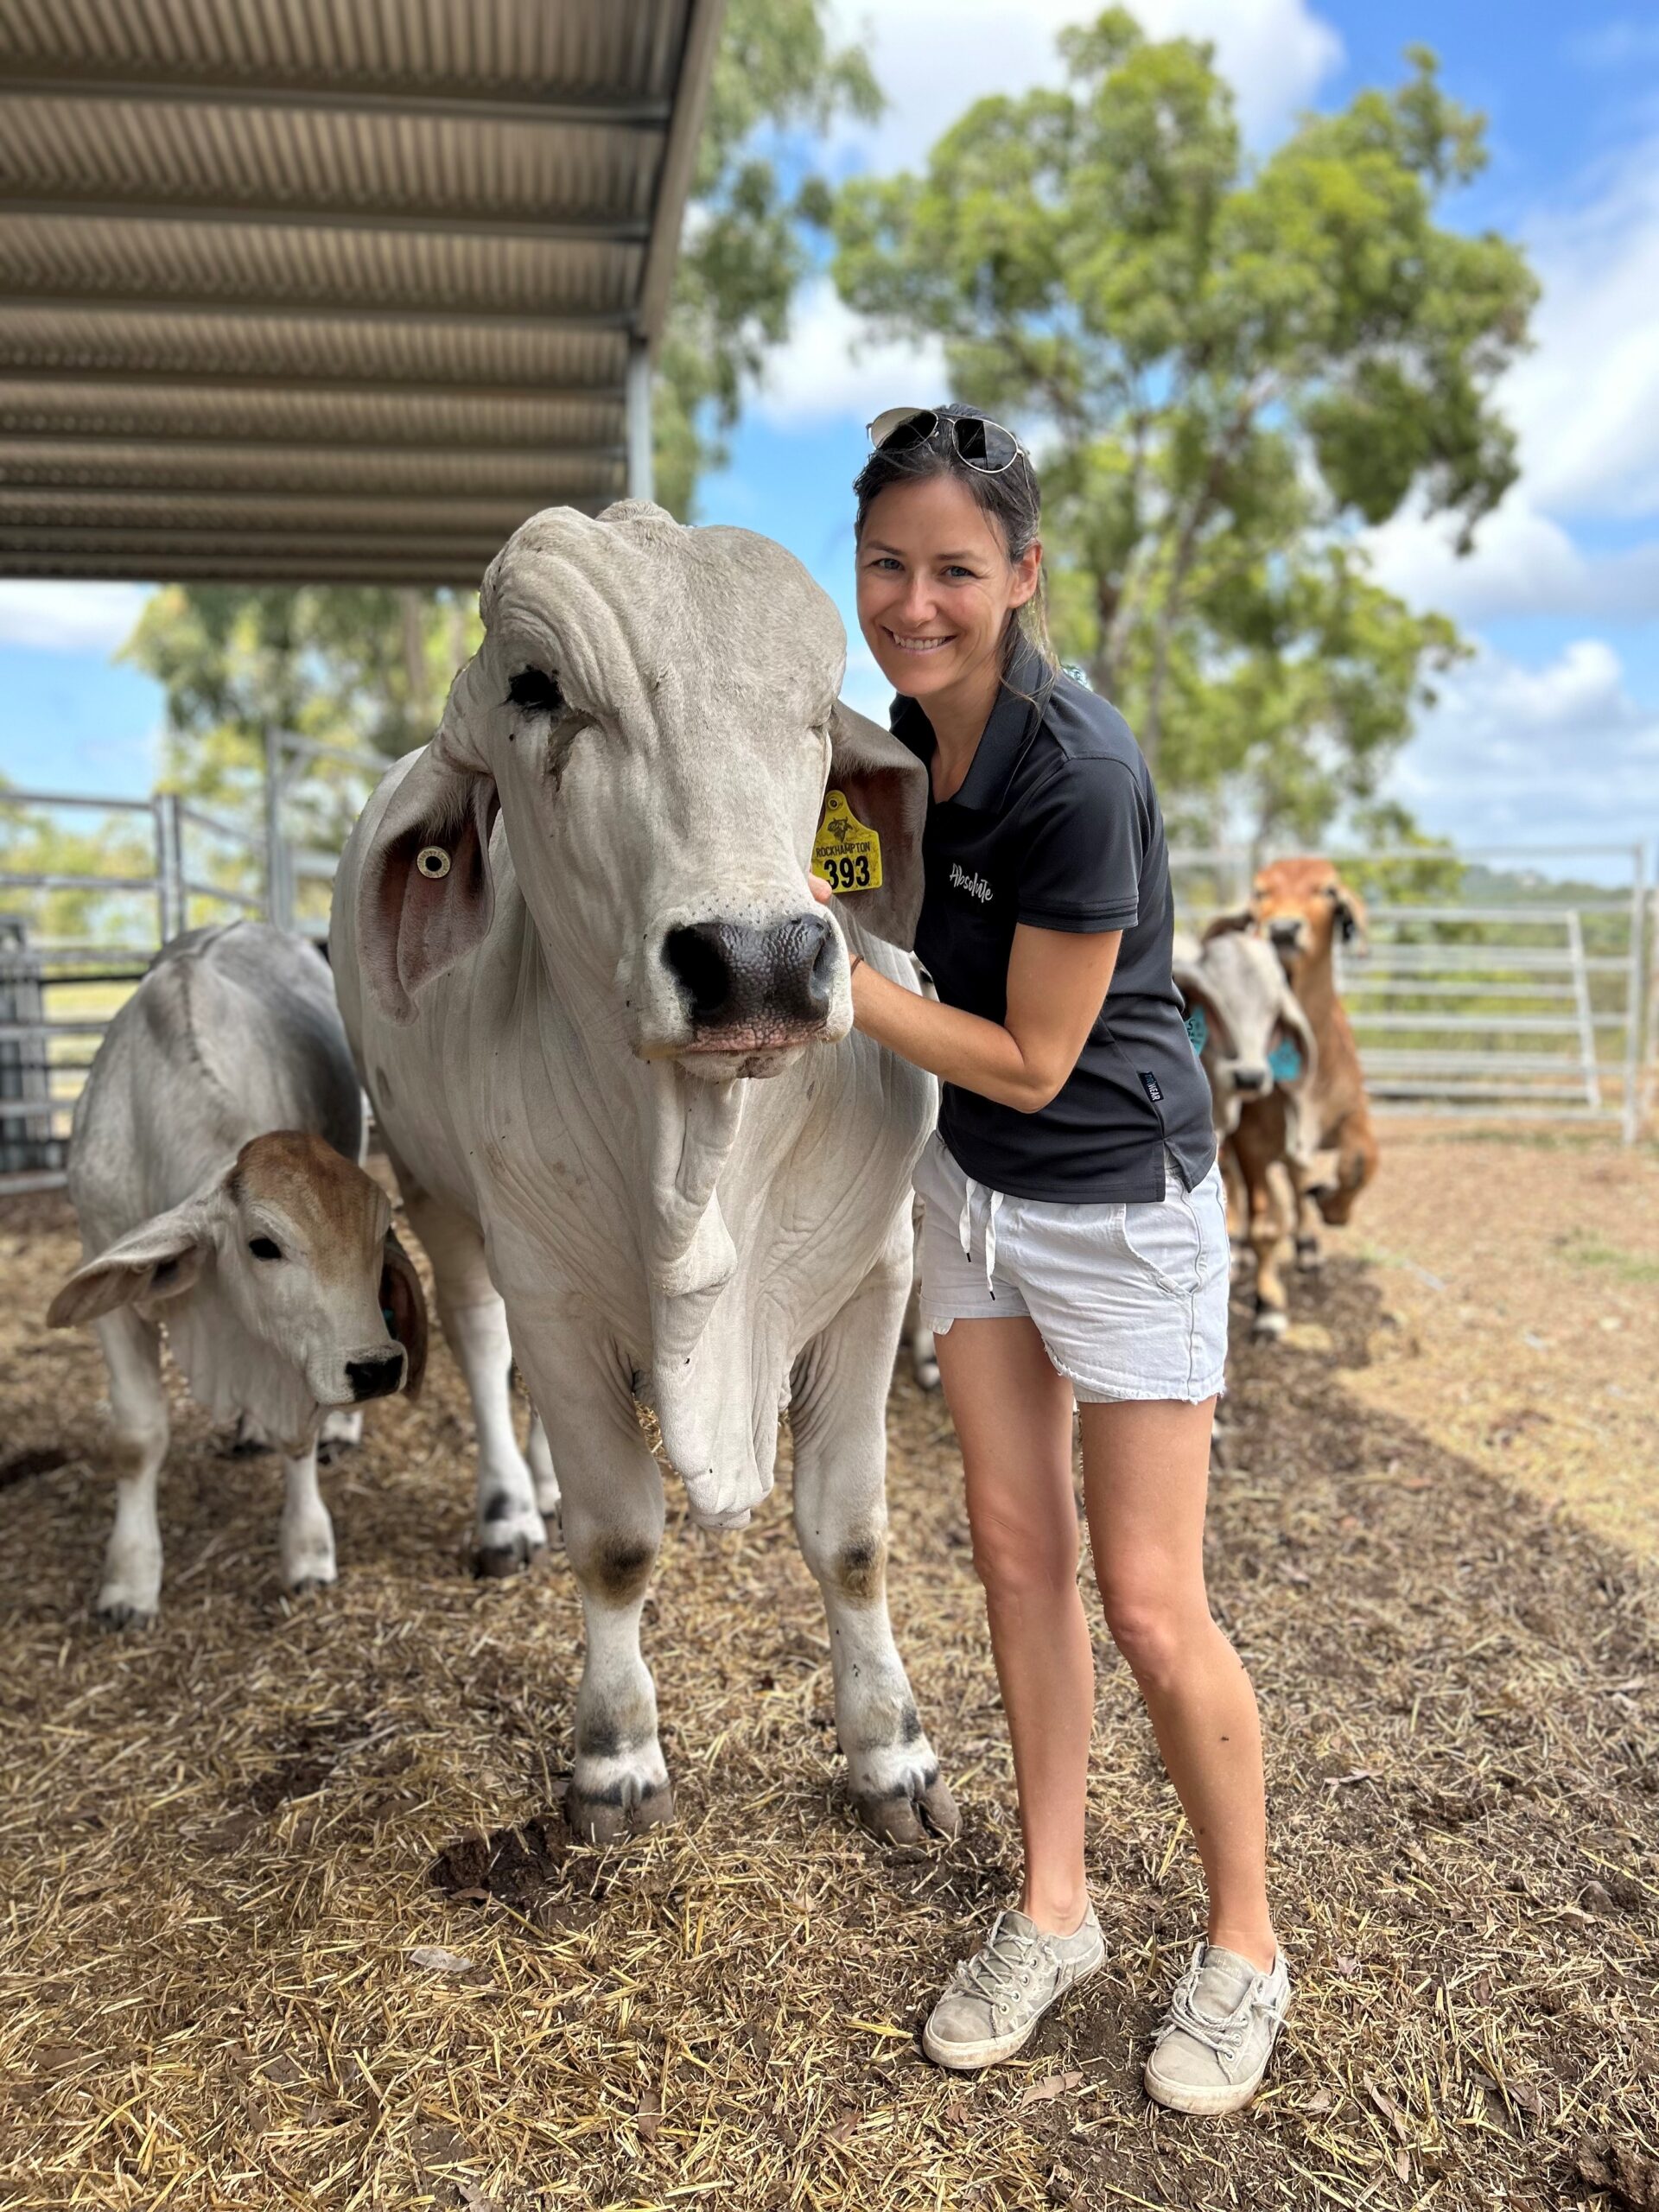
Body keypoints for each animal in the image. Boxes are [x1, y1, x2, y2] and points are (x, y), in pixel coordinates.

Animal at [45, 923, 427, 1626]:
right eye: (262, 1245)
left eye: (378, 1236)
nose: (377, 1367)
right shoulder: (110, 1287)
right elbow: (138, 1437)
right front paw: (129, 1580)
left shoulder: (306, 1355)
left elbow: (299, 1435)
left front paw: (306, 1550)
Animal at [329, 498, 957, 1848]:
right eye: (536, 687)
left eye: (815, 705)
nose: (760, 961)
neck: (703, 1164)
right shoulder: (553, 1292)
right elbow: (618, 1541)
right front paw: (615, 1756)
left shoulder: (874, 1282)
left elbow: (853, 1537)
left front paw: (893, 1753)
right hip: (444, 1200)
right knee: (484, 1342)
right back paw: (514, 1506)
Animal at [1247, 859, 1379, 1268]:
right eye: (1260, 891)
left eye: (1327, 891)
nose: (1284, 929)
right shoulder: (1252, 1138)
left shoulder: (1350, 1112)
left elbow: (1358, 1162)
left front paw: (1332, 1207)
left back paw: (1306, 1242)